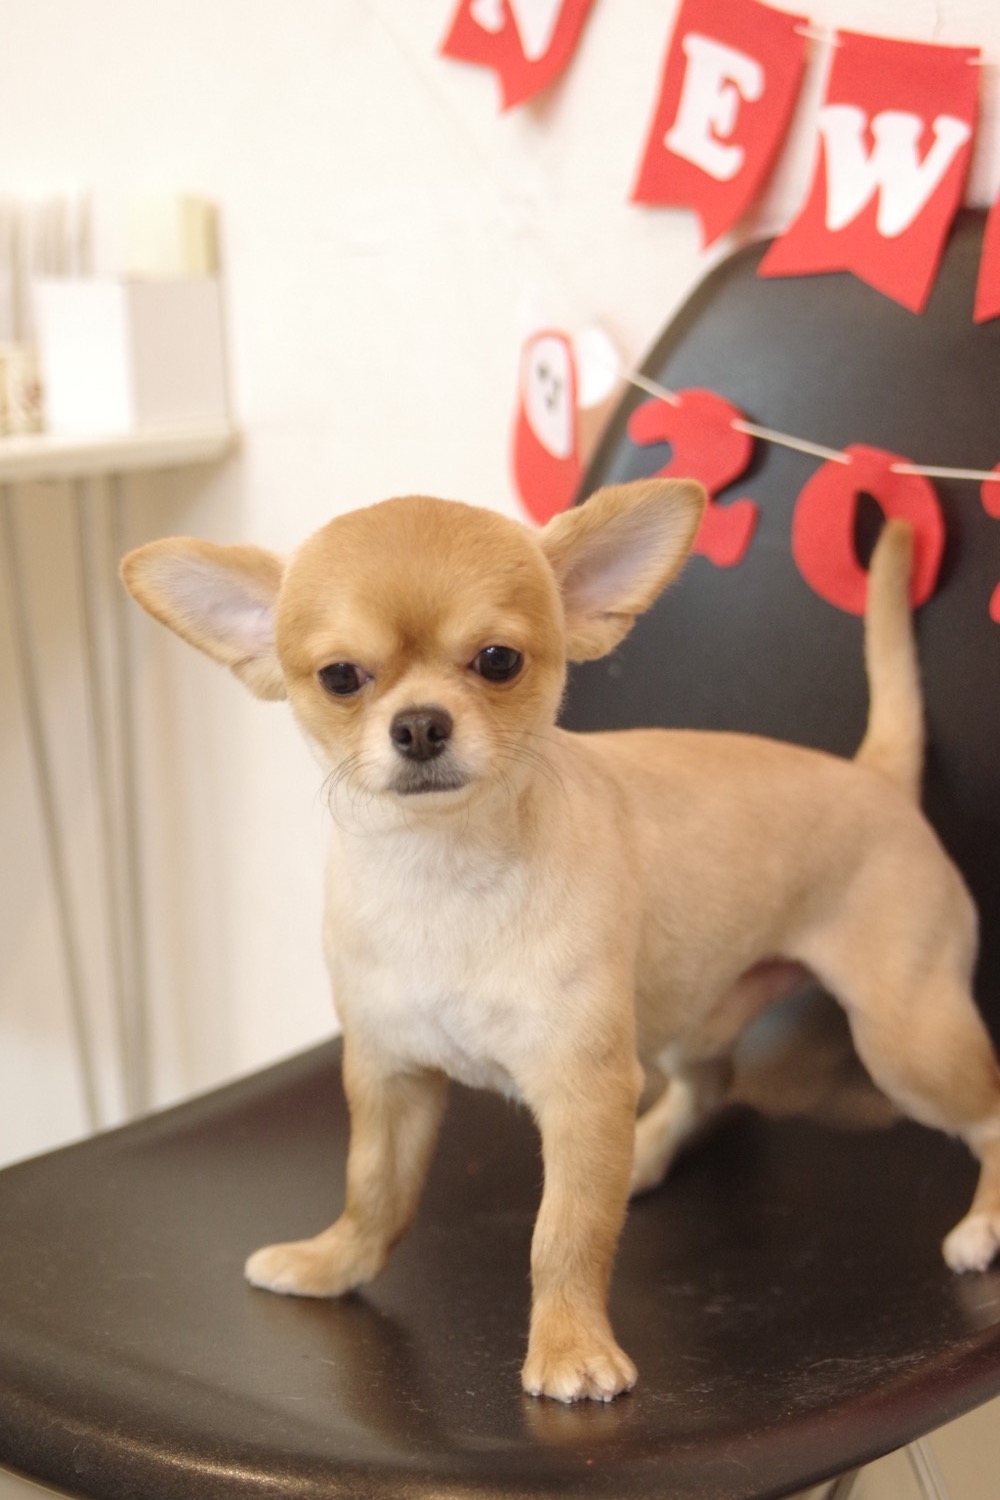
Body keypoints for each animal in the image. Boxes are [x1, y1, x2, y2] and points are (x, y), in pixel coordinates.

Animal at [121, 478, 1000, 1403]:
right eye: (341, 677)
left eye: (498, 661)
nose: (420, 725)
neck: (444, 872)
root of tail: (874, 777)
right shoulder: (390, 1077)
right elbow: (375, 1190)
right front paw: (335, 1264)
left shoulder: (581, 1090)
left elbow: (565, 1232)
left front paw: (571, 1348)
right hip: (690, 1011)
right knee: (710, 1083)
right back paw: (643, 1150)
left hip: (907, 1043)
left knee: (990, 1116)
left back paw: (982, 1226)